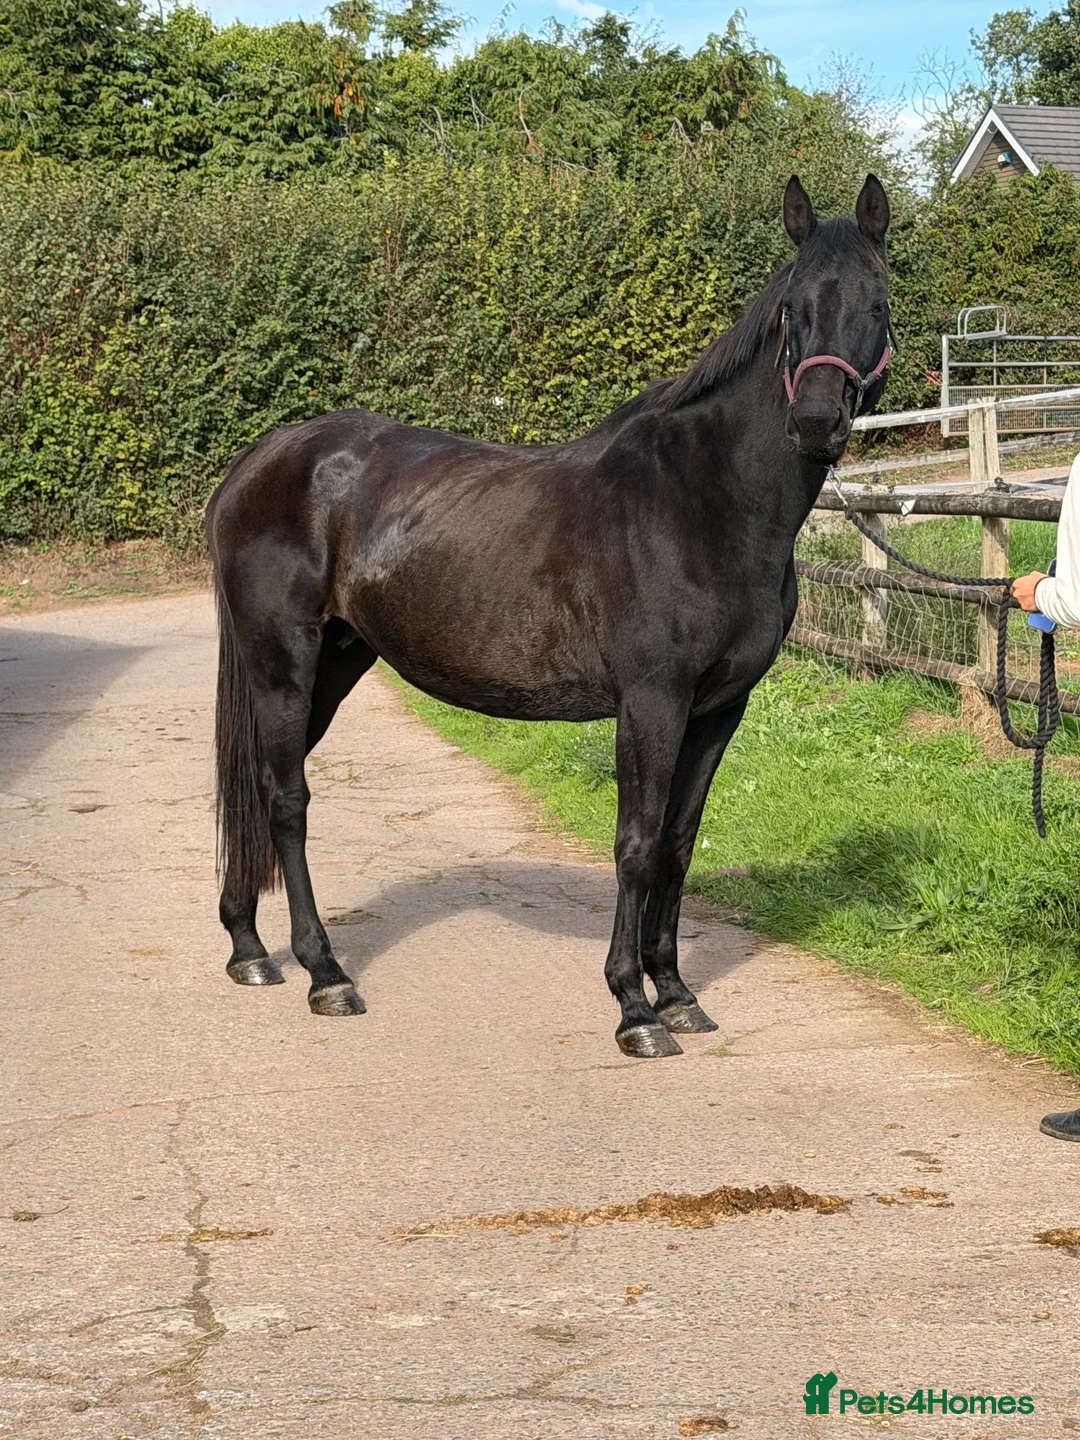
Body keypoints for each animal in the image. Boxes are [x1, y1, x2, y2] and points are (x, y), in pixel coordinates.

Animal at [205, 173, 893, 1058]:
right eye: (792, 308)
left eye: (876, 302)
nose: (814, 422)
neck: (705, 501)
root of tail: (257, 463)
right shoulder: (651, 703)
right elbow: (635, 844)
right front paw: (634, 1009)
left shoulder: (719, 709)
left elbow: (678, 844)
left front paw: (677, 994)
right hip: (281, 664)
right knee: (287, 801)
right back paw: (325, 974)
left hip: (334, 662)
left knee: (258, 789)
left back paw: (249, 948)